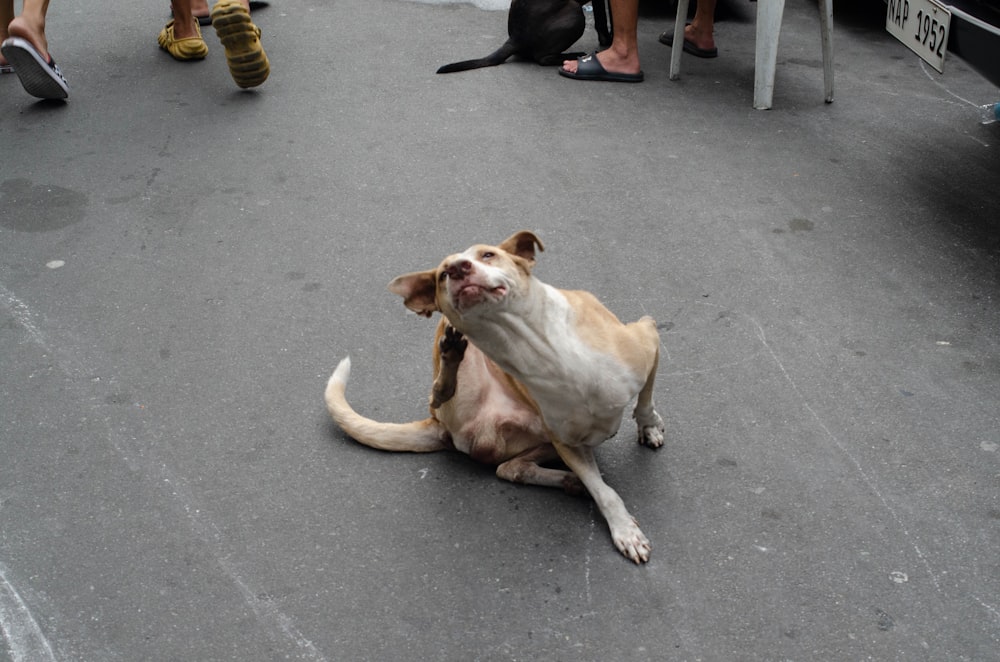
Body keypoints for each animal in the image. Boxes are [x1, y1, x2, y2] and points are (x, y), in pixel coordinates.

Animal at [328, 233, 668, 564]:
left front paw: (649, 427)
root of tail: (438, 425)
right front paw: (625, 530)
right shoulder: (568, 442)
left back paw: (568, 480)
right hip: (473, 394)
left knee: (511, 468)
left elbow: (645, 401)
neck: (540, 348)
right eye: (441, 275)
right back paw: (449, 362)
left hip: (539, 435)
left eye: (488, 255)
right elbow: (603, 492)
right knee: (447, 402)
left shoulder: (648, 334)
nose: (458, 268)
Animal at [436, 0, 608, 74]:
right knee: (542, 58)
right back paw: (574, 56)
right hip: (574, 13)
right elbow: (602, 19)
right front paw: (607, 40)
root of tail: (514, 39)